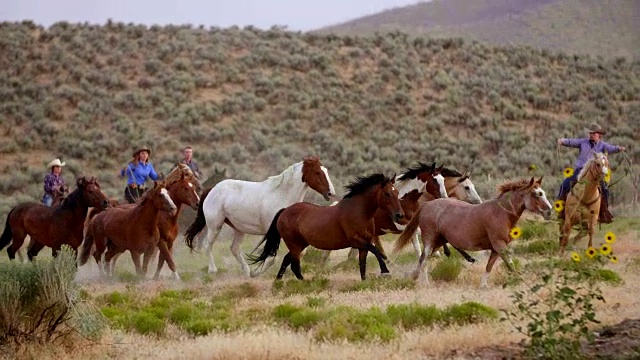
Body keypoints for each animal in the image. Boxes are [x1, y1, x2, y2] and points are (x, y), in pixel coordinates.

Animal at [184, 156, 338, 278]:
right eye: (317, 172)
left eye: (326, 171)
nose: (331, 193)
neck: (282, 195)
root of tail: (212, 189)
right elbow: (271, 258)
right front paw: (257, 272)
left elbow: (300, 253)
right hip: (215, 226)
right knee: (207, 245)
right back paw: (213, 270)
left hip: (239, 229)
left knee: (234, 248)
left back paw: (246, 272)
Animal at [248, 174, 402, 282]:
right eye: (387, 193)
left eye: (397, 193)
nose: (399, 215)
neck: (359, 211)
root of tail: (285, 211)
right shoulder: (357, 241)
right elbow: (376, 251)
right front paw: (385, 272)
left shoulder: (364, 244)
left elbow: (362, 265)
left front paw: (365, 282)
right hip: (295, 245)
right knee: (294, 265)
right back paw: (305, 283)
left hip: (301, 244)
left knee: (287, 260)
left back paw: (278, 283)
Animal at [392, 176, 552, 288]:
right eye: (536, 194)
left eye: (543, 193)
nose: (549, 211)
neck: (501, 213)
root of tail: (427, 205)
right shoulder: (500, 245)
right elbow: (510, 265)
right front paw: (520, 280)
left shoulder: (496, 249)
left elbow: (489, 266)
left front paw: (483, 285)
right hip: (430, 239)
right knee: (424, 258)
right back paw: (420, 280)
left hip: (440, 240)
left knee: (424, 259)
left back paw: (419, 279)